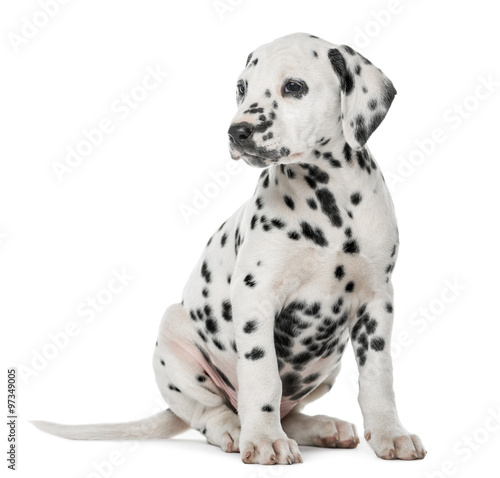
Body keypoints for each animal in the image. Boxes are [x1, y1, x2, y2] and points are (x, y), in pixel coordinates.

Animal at [34, 32, 426, 464]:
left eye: (294, 87)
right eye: (242, 88)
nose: (237, 132)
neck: (330, 202)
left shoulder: (378, 301)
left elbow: (378, 376)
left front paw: (391, 433)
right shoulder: (256, 297)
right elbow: (262, 376)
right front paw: (264, 440)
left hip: (329, 365)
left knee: (291, 415)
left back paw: (323, 427)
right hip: (174, 337)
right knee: (208, 412)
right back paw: (236, 429)